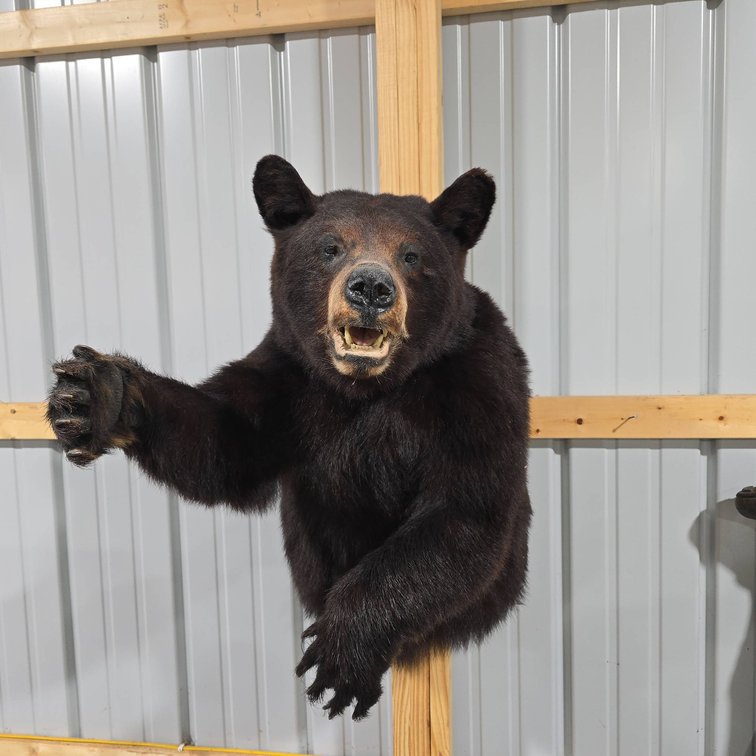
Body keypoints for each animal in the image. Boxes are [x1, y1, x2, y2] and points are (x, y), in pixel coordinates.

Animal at [46, 154, 532, 721]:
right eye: (330, 248)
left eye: (411, 255)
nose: (371, 287)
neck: (363, 390)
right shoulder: (287, 374)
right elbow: (226, 444)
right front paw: (98, 395)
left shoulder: (478, 385)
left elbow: (464, 509)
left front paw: (343, 654)